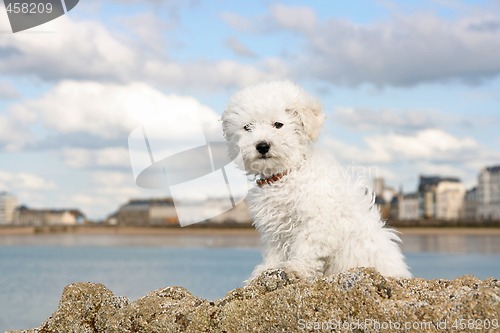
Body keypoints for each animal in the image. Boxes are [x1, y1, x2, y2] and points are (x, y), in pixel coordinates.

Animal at [223, 80, 410, 280]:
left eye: (278, 124)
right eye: (247, 127)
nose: (262, 146)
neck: (286, 174)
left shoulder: (317, 221)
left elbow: (307, 247)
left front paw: (296, 267)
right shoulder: (275, 226)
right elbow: (276, 251)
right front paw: (268, 269)